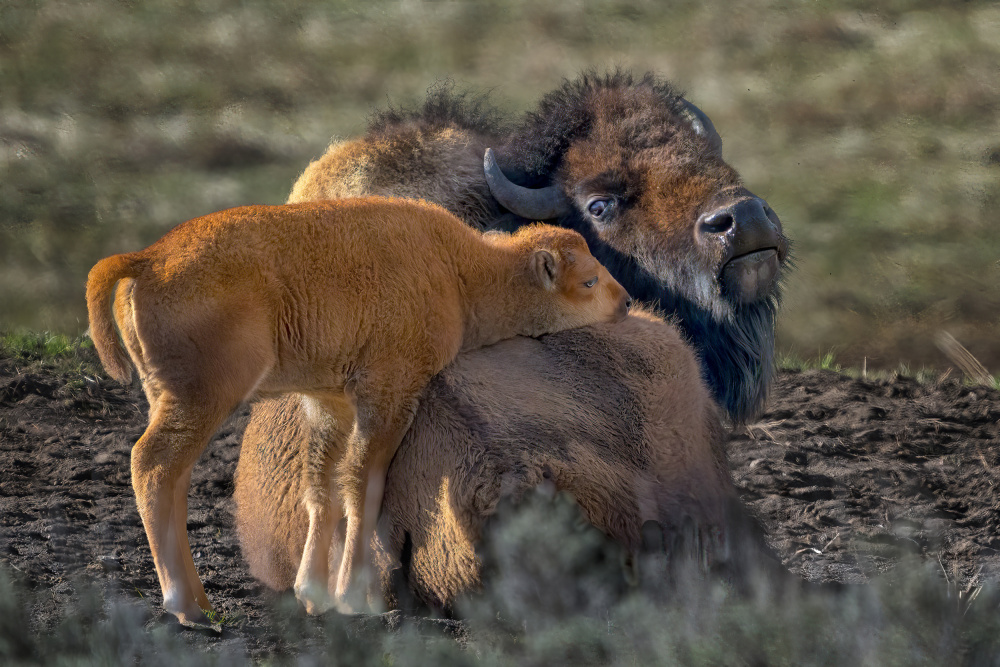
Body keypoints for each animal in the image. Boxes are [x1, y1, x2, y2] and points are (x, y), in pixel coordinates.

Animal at [84, 197, 624, 628]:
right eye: (588, 281)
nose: (623, 303)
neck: (458, 272)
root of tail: (148, 259)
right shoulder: (389, 394)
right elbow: (365, 484)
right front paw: (353, 599)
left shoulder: (332, 404)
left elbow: (322, 487)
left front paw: (314, 593)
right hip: (204, 400)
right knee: (151, 465)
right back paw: (185, 606)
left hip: (170, 400)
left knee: (173, 480)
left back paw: (200, 600)